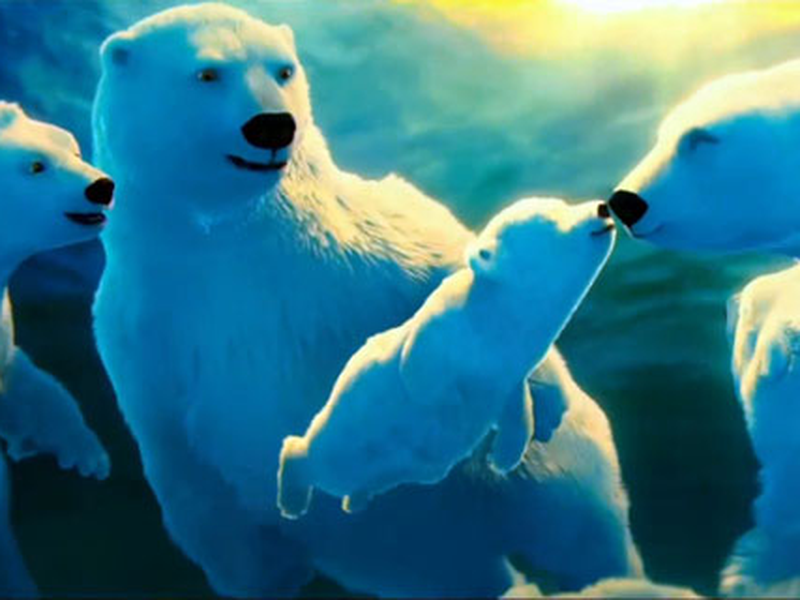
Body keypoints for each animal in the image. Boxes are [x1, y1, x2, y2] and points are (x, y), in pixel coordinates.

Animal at [278, 198, 616, 519]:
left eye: (562, 205)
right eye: (553, 215)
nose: (602, 207)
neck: (498, 326)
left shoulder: (508, 374)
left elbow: (517, 411)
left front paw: (502, 458)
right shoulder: (448, 318)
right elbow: (416, 361)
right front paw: (442, 402)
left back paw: (355, 500)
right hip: (336, 424)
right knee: (307, 449)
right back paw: (293, 496)